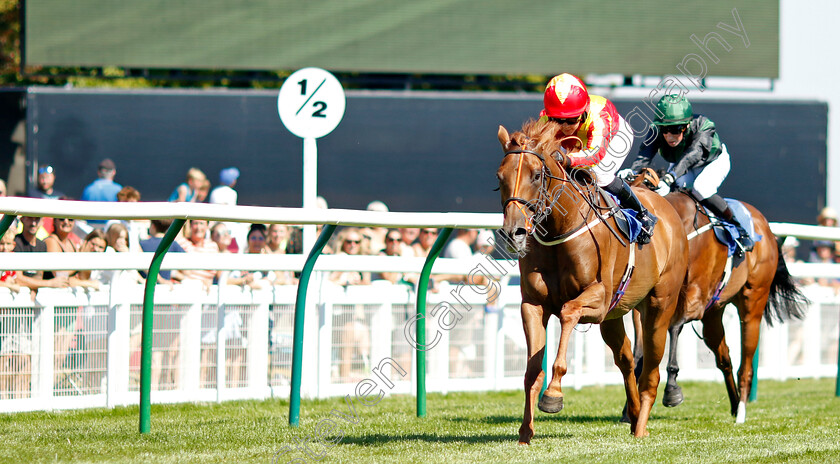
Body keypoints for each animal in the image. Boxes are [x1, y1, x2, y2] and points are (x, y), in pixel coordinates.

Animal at [496, 122, 684, 442]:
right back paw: (633, 414)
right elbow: (532, 371)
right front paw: (525, 433)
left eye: (536, 175)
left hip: (659, 306)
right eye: (500, 176)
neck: (562, 227)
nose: (513, 233)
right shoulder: (532, 304)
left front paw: (553, 395)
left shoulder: (598, 300)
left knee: (651, 370)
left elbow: (568, 311)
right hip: (614, 317)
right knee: (626, 359)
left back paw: (641, 427)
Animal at [628, 169, 812, 424]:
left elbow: (674, 328)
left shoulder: (695, 299)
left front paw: (672, 390)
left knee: (746, 362)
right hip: (713, 314)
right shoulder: (648, 304)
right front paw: (630, 408)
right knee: (725, 357)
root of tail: (765, 226)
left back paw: (742, 410)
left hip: (752, 302)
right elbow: (640, 349)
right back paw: (734, 404)